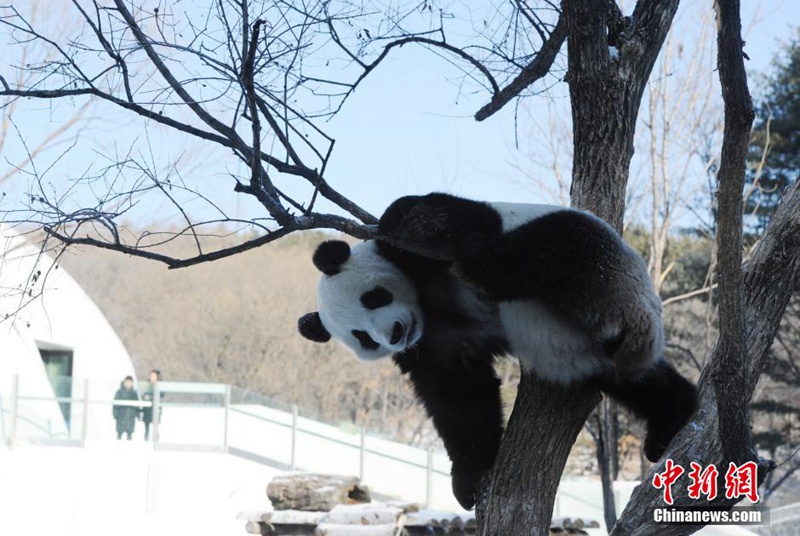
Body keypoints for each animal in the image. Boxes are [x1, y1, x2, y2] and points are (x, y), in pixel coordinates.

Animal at [298, 193, 697, 510]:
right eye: (363, 337)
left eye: (373, 297)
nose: (395, 333)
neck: (425, 306)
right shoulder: (434, 344)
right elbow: (460, 398)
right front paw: (469, 480)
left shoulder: (420, 252)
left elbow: (446, 217)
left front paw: (402, 216)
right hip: (591, 349)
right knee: (632, 380)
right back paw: (668, 417)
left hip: (604, 261)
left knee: (546, 249)